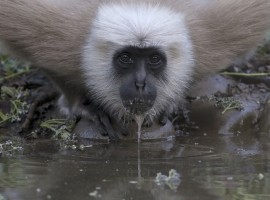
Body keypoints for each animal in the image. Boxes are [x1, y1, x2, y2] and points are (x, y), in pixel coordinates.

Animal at [0, 0, 270, 139]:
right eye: (126, 59)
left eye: (154, 59)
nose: (140, 83)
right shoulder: (53, 39)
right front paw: (82, 105)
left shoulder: (215, 38)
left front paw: (174, 100)